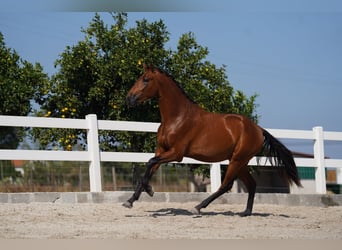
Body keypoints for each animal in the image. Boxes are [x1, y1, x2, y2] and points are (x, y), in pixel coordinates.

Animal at [123, 64, 302, 217]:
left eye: (146, 79)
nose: (129, 99)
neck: (177, 118)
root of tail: (259, 129)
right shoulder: (162, 150)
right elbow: (150, 166)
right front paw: (130, 200)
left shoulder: (176, 153)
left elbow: (150, 162)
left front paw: (149, 190)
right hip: (240, 162)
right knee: (251, 184)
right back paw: (246, 212)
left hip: (237, 160)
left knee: (226, 185)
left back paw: (198, 207)